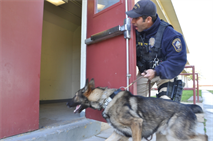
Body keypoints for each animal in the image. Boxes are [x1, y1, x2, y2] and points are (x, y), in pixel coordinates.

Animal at [67, 79, 208, 140]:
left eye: (75, 95)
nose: (67, 103)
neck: (107, 99)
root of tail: (188, 106)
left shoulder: (136, 124)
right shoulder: (118, 134)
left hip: (176, 134)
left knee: (204, 136)